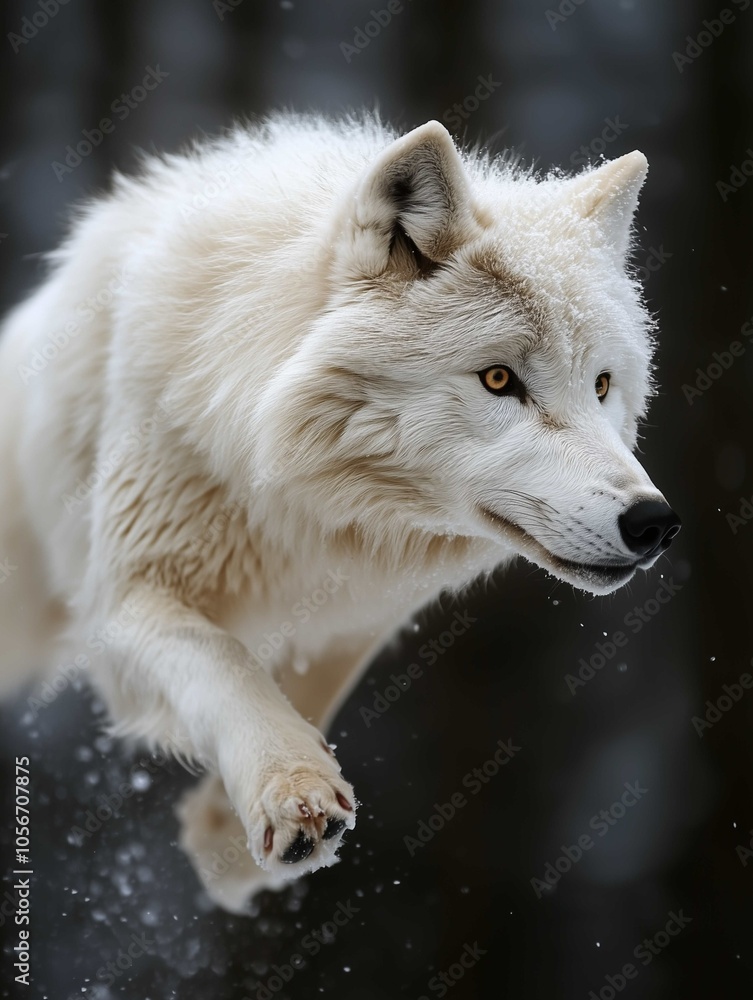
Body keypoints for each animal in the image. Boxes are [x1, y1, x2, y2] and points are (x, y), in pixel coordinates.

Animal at [0, 114, 680, 912]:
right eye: (497, 379)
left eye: (601, 384)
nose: (653, 523)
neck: (306, 504)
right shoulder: (123, 596)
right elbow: (225, 664)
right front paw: (287, 789)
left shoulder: (359, 610)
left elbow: (310, 695)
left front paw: (225, 842)